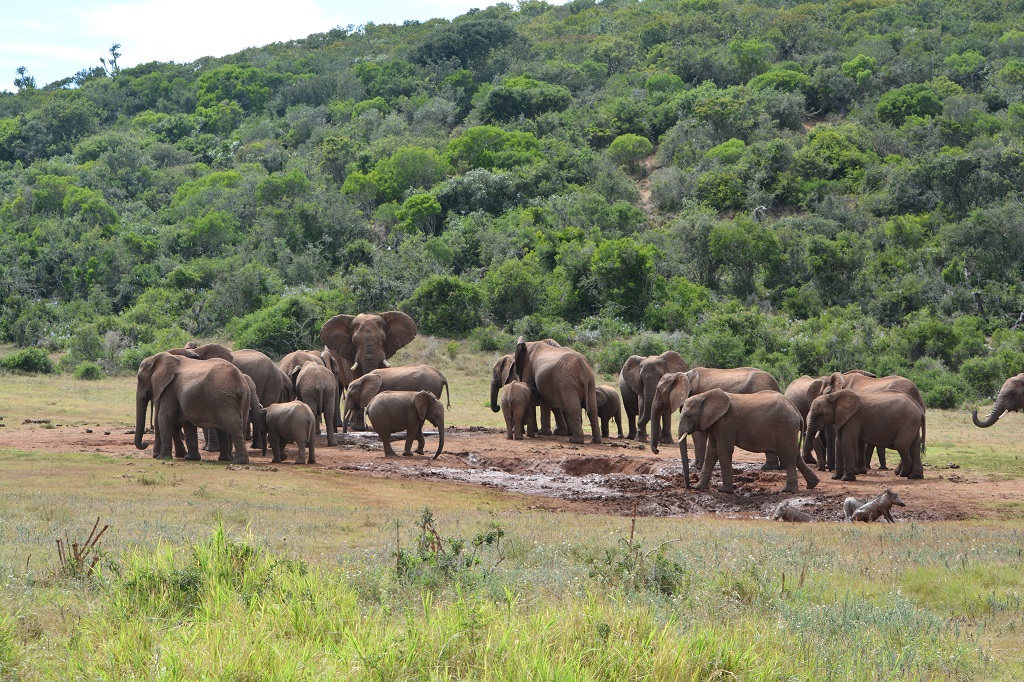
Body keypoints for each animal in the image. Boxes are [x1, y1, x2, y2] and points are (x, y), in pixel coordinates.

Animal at [679, 387, 823, 493]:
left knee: (788, 455)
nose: (688, 487)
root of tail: (797, 412)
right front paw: (699, 487)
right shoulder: (716, 424)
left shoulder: (725, 424)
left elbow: (723, 451)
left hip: (786, 426)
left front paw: (724, 491)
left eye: (688, 415)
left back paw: (788, 490)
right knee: (795, 456)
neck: (705, 396)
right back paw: (813, 484)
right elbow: (712, 452)